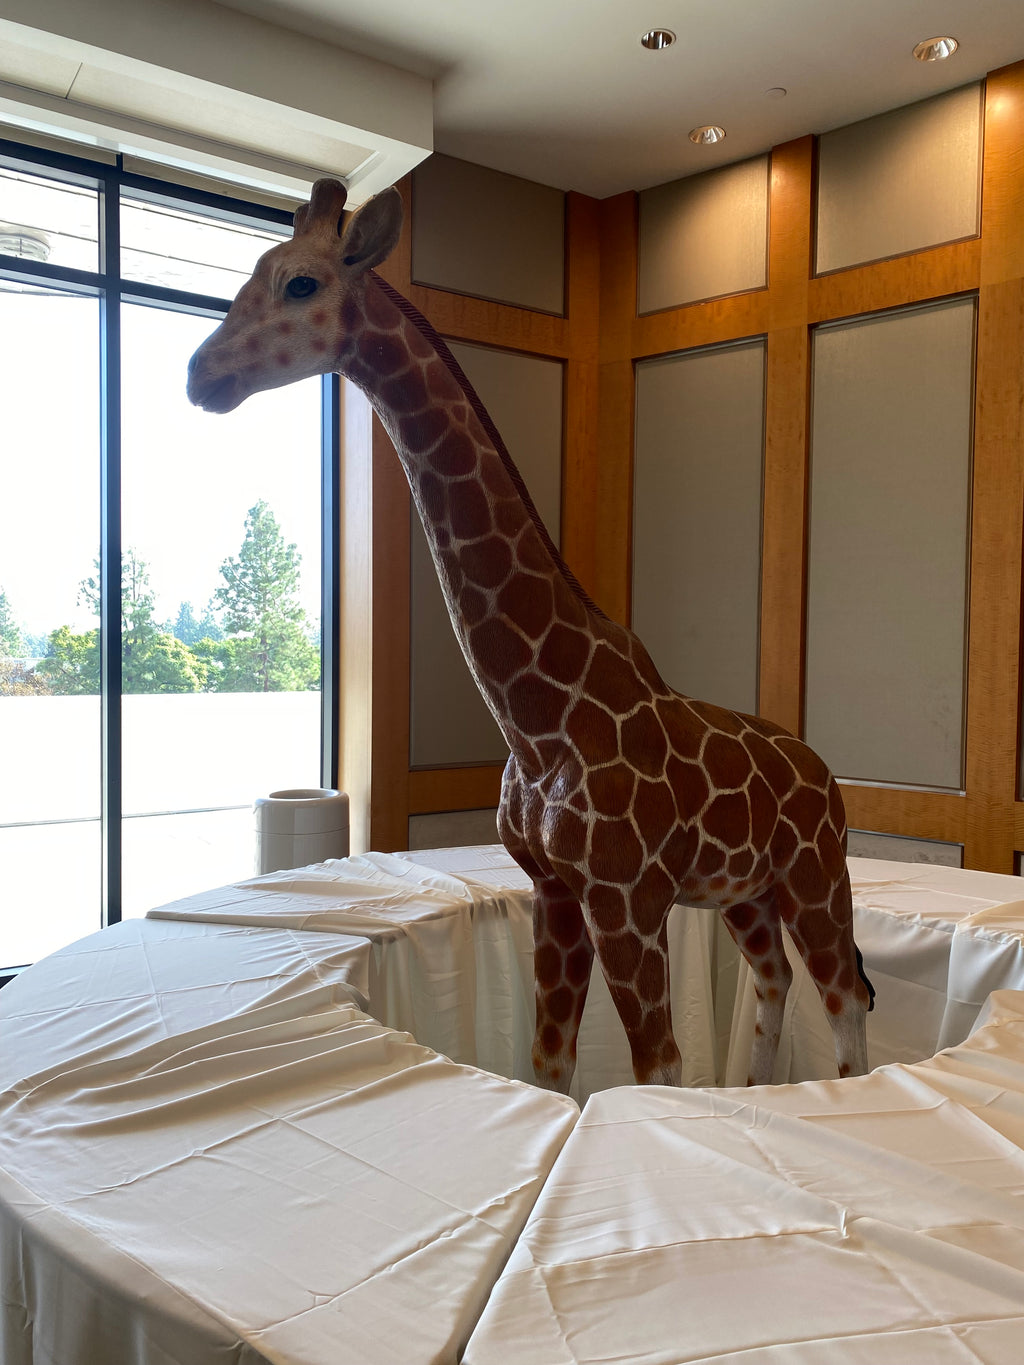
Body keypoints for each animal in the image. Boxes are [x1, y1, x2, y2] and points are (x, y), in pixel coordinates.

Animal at [187, 179, 874, 1091]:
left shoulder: (628, 899)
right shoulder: (554, 891)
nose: (201, 373)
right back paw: (749, 1094)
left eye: (300, 282)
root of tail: (827, 778)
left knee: (844, 997)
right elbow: (549, 1059)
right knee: (775, 981)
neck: (536, 716)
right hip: (748, 892)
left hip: (815, 875)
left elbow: (657, 1065)